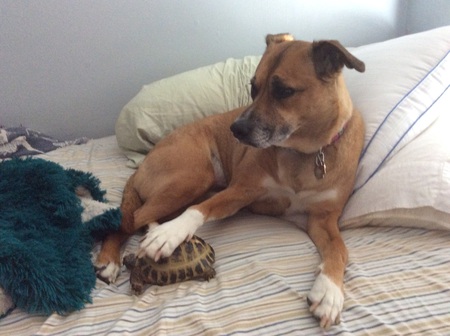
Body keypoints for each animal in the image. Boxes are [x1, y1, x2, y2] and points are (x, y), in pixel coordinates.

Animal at [96, 33, 366, 328]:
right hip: (194, 177)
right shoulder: (240, 190)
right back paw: (110, 259)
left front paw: (329, 292)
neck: (302, 153)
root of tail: (141, 164)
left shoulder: (323, 220)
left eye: (284, 91)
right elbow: (199, 211)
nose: (235, 130)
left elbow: (340, 250)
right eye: (253, 87)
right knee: (128, 218)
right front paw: (169, 235)